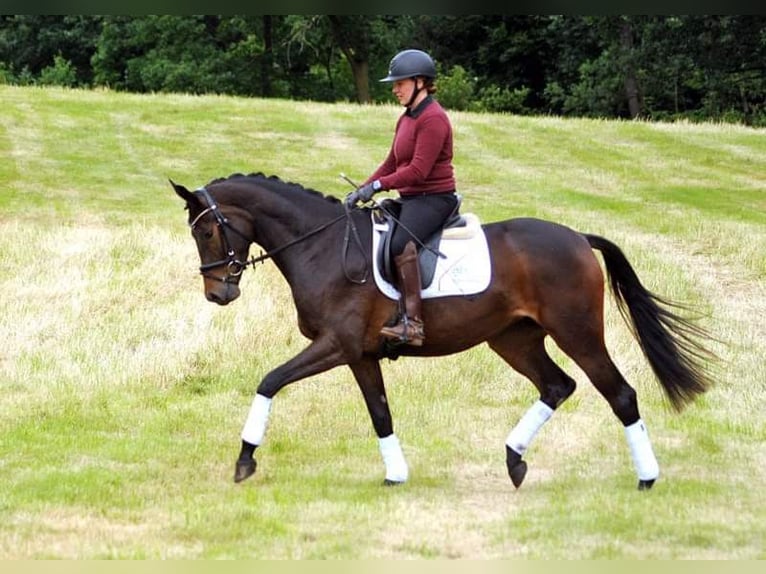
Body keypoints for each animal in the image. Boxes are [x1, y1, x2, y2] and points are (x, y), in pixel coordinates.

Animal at [171, 171, 716, 490]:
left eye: (208, 230)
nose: (218, 294)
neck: (322, 245)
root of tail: (579, 238)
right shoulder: (359, 354)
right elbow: (381, 414)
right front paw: (396, 474)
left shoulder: (335, 345)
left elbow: (268, 382)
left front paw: (244, 461)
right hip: (513, 338)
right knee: (557, 385)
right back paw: (514, 460)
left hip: (577, 333)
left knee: (619, 394)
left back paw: (646, 478)